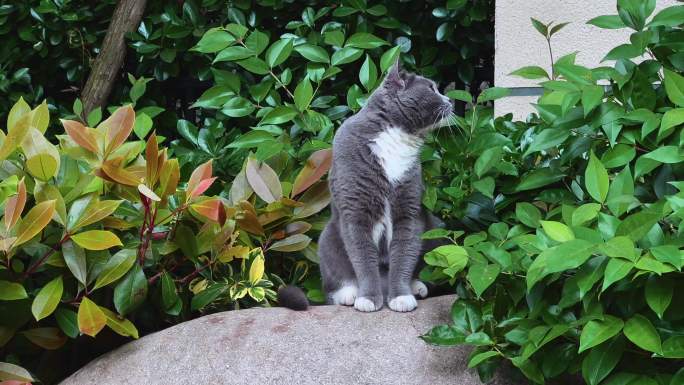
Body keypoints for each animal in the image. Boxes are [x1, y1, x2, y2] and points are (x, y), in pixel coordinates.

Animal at [316, 61, 454, 310]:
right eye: (431, 88)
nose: (451, 100)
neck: (396, 136)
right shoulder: (355, 210)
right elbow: (363, 257)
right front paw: (368, 299)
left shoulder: (409, 210)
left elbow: (404, 254)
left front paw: (400, 297)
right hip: (326, 238)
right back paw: (349, 294)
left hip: (436, 227)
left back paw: (416, 286)